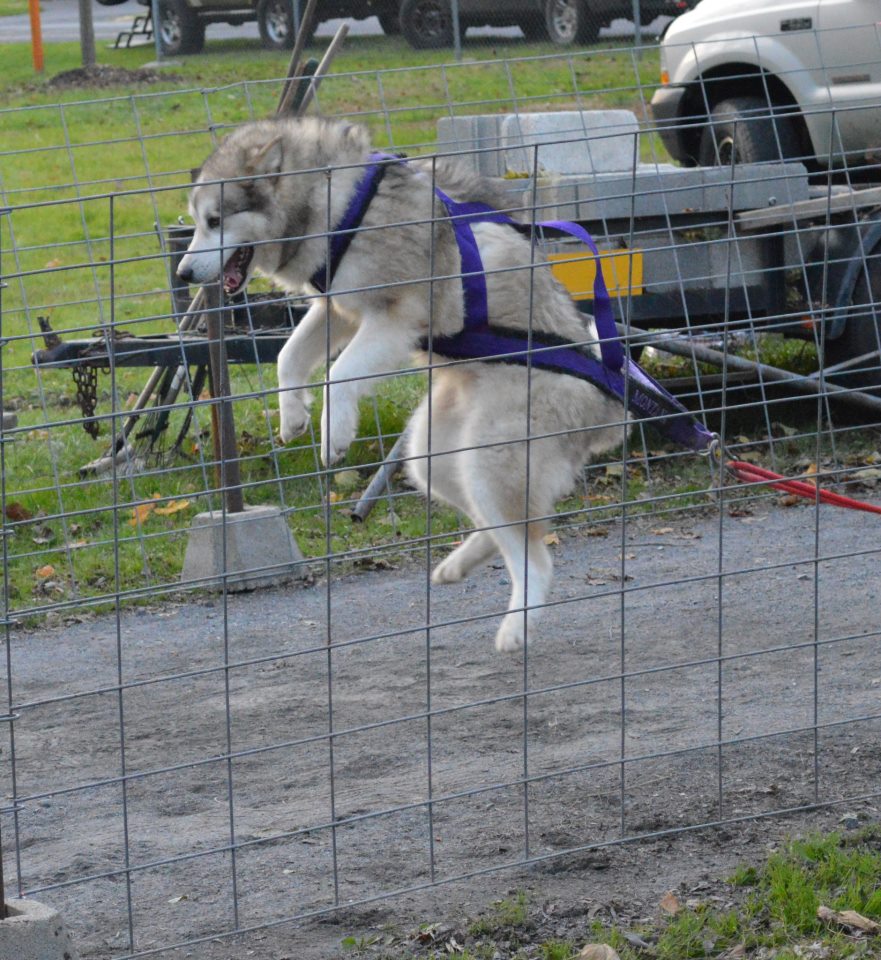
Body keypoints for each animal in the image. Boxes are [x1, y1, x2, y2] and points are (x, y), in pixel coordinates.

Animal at [175, 114, 624, 652]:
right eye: (197, 221)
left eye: (215, 221)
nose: (183, 271)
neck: (337, 203)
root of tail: (607, 412)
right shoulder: (338, 309)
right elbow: (288, 358)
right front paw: (292, 417)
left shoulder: (393, 318)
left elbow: (338, 377)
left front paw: (334, 434)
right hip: (431, 458)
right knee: (498, 526)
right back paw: (460, 564)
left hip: (489, 463)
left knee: (535, 556)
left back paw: (516, 628)